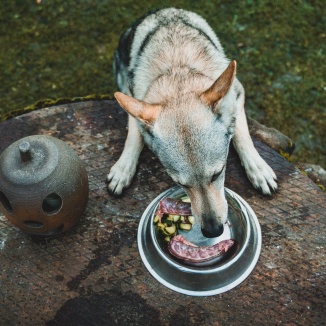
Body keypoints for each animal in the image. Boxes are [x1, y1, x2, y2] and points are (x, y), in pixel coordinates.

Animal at [107, 7, 278, 237]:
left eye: (217, 174)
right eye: (179, 183)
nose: (213, 231)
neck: (177, 68)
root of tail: (164, 9)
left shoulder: (238, 92)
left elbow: (242, 135)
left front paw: (258, 169)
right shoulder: (131, 93)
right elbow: (134, 135)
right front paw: (123, 169)